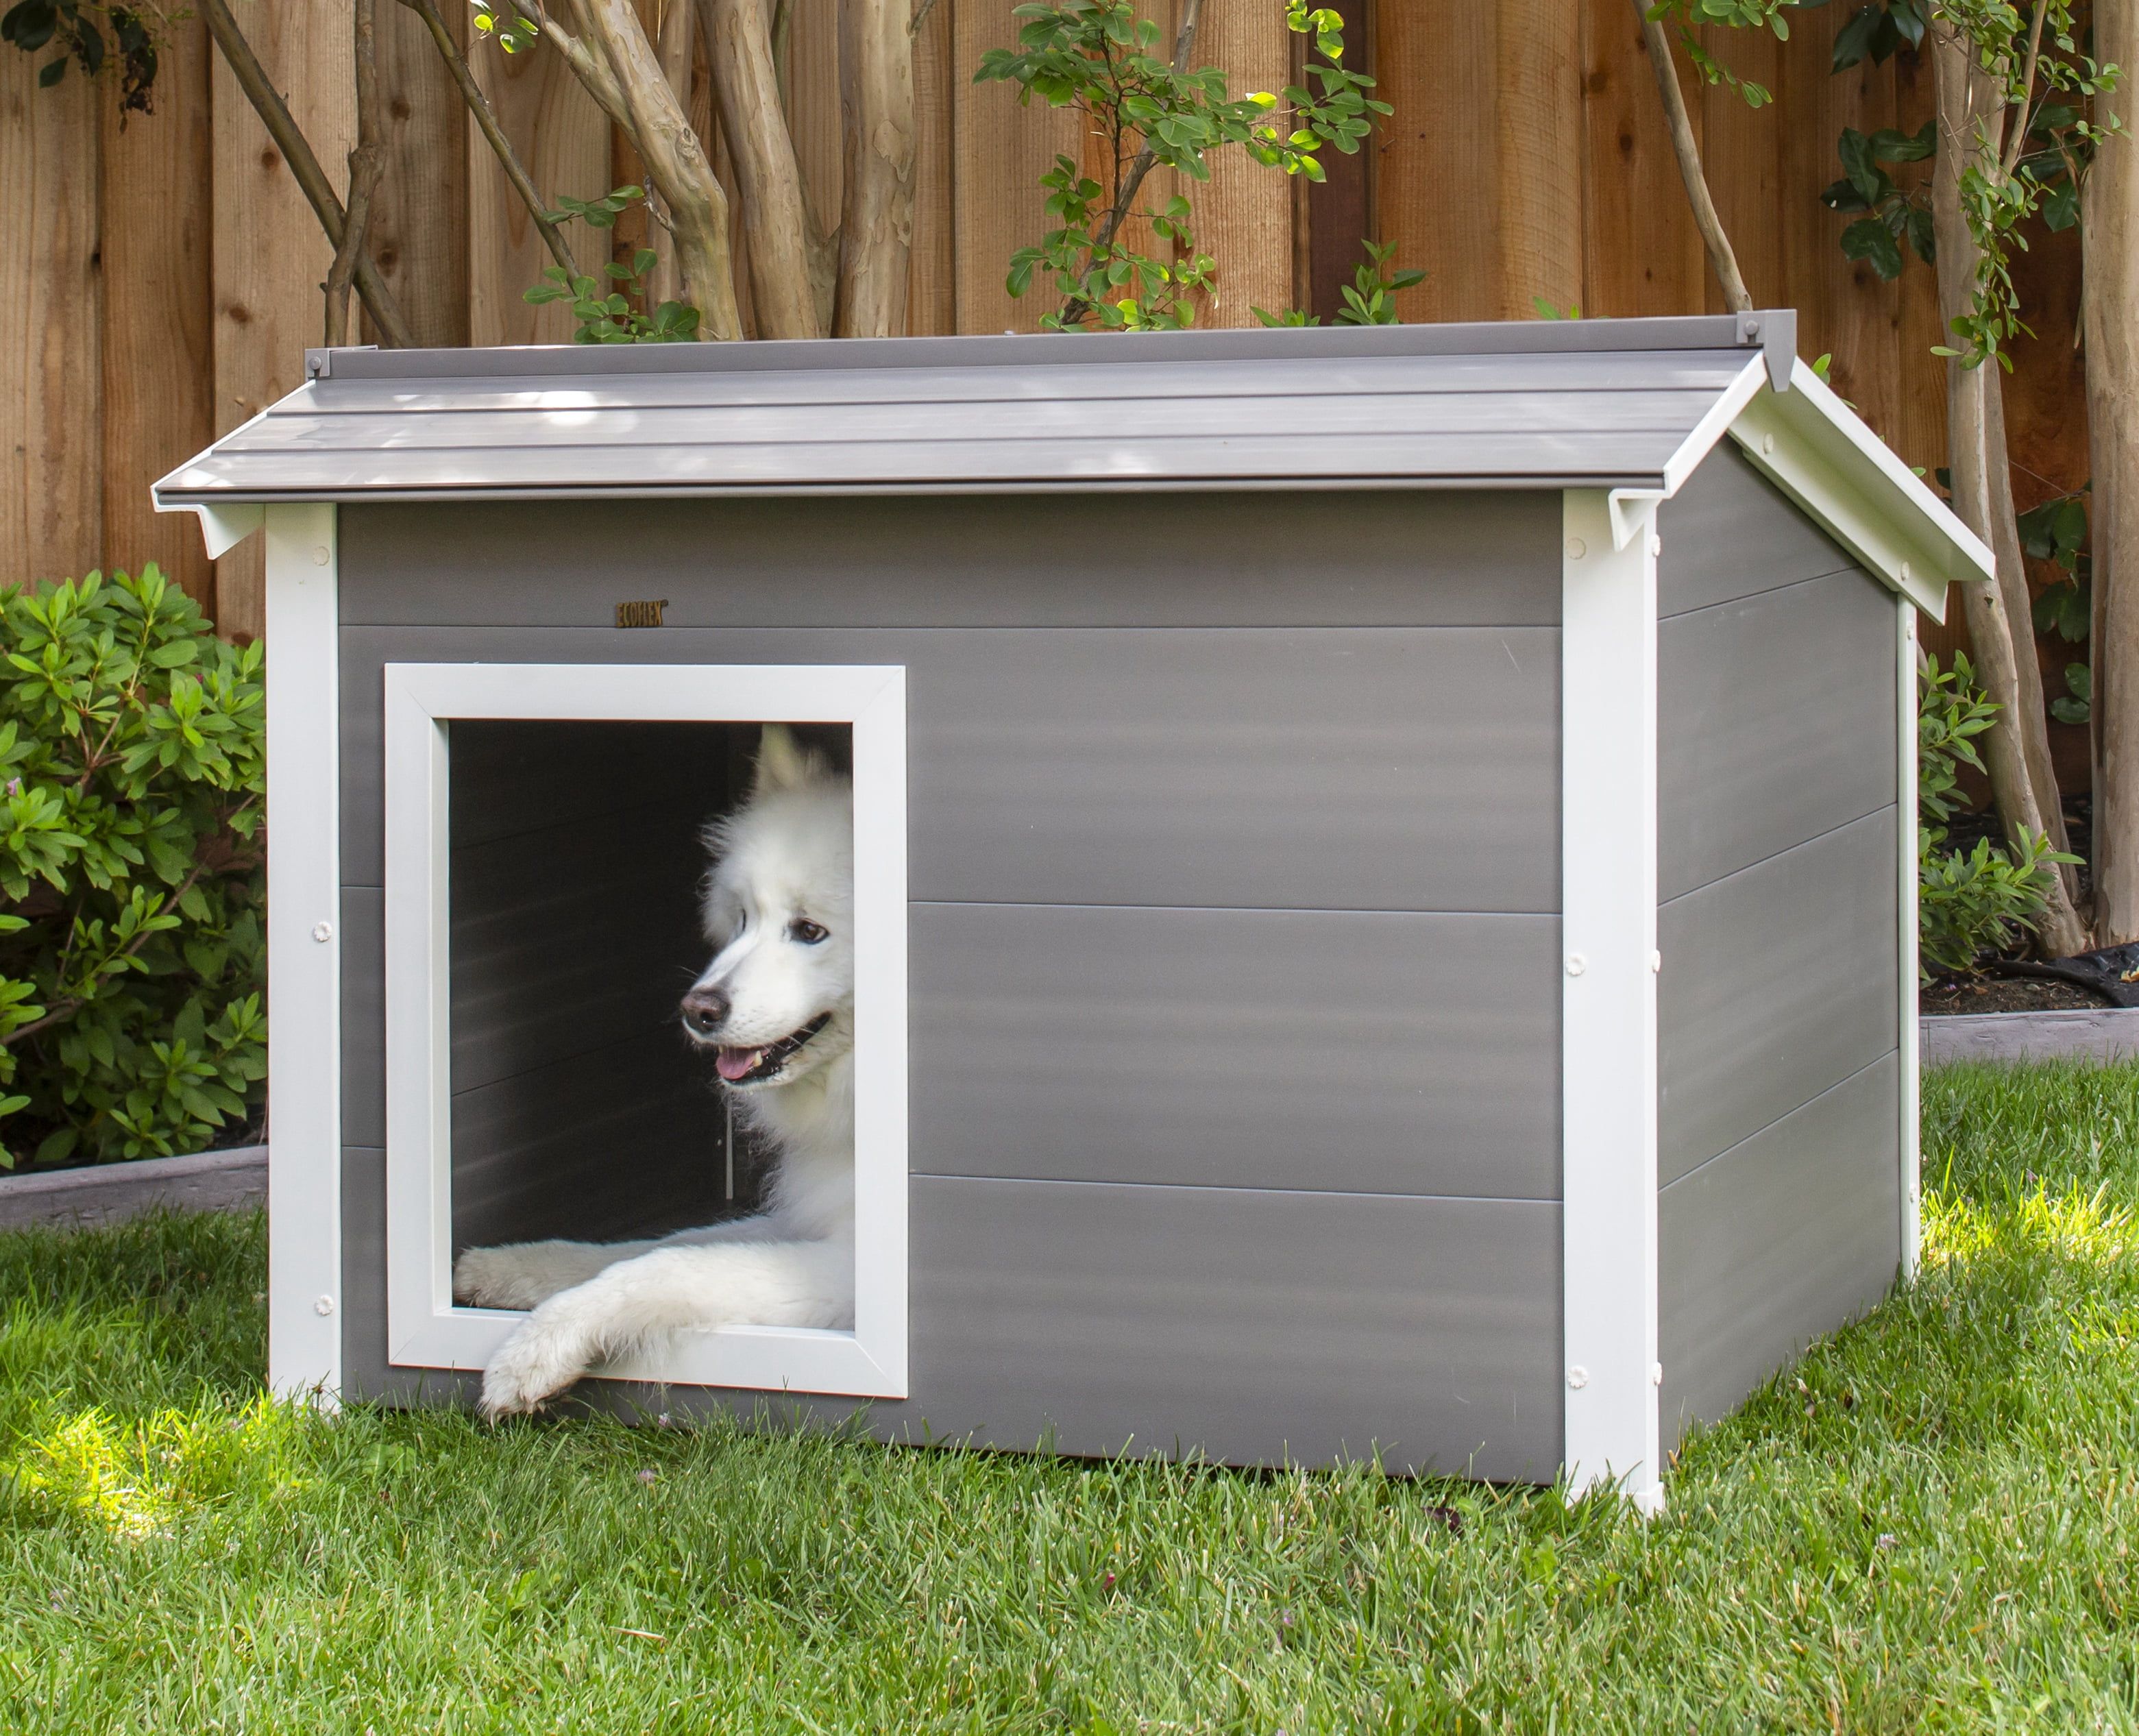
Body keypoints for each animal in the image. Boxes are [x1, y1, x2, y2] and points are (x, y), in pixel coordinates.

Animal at [455, 726, 855, 1419]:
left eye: (810, 931)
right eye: (742, 919)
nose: (697, 1009)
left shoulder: (855, 1270)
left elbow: (670, 1266)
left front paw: (536, 1348)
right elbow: (657, 1246)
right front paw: (507, 1270)